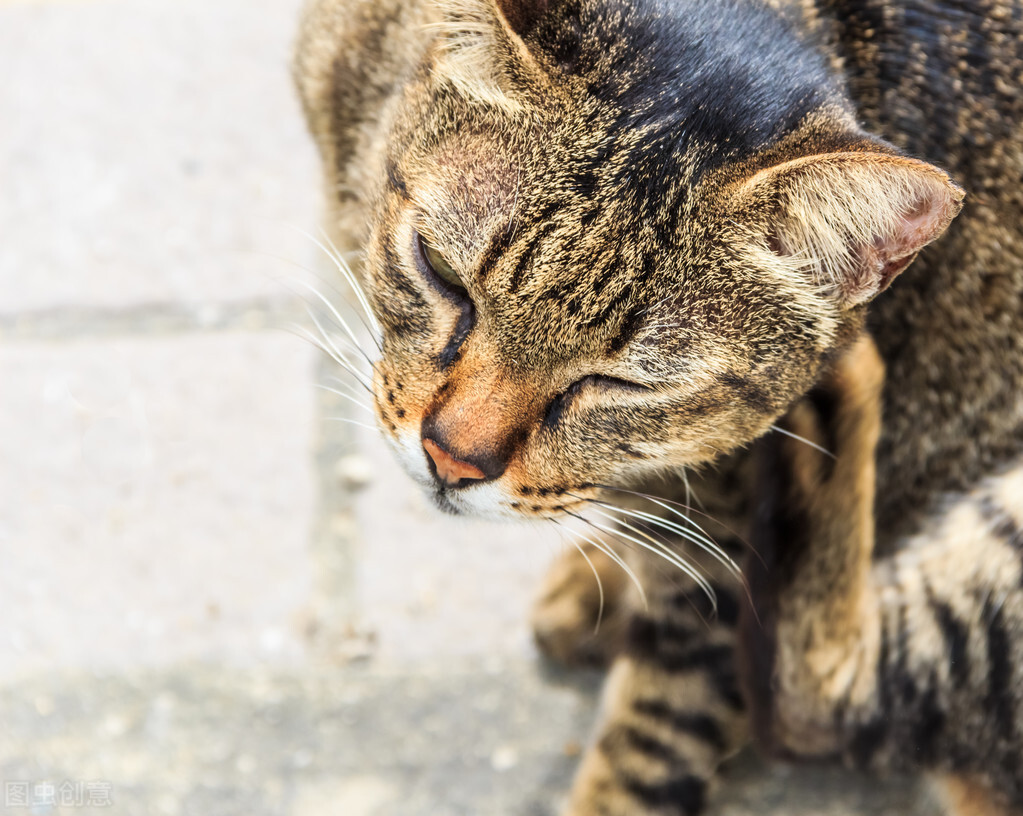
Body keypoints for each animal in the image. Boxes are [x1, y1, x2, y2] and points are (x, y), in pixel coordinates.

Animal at [292, 0, 1018, 813]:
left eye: (627, 385)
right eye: (442, 274)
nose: (452, 459)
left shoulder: (721, 564)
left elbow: (651, 746)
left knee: (827, 702)